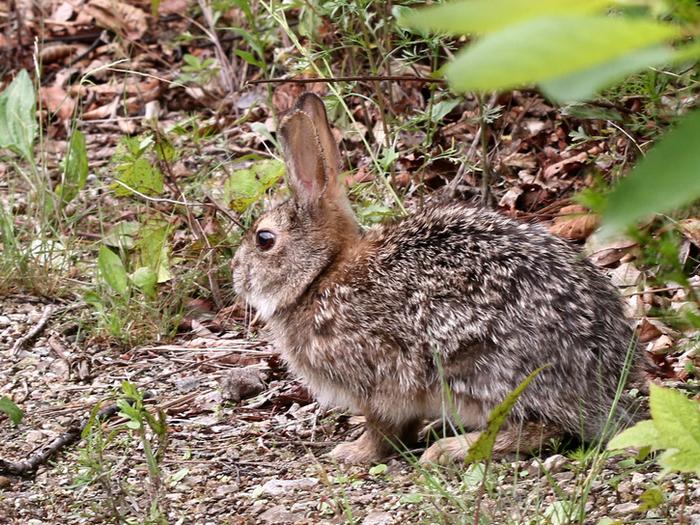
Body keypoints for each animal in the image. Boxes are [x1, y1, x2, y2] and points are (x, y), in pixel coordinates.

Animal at [231, 93, 644, 462]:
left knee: (540, 427)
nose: (236, 274)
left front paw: (353, 453)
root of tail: (601, 378)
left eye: (264, 239)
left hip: (480, 371)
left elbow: (381, 428)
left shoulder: (377, 382)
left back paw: (449, 450)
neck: (321, 274)